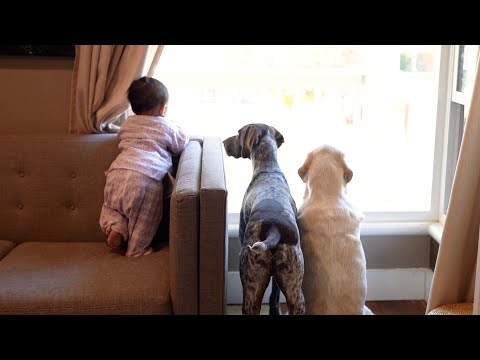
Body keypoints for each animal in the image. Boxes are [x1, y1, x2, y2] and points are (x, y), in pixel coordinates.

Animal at [224, 124, 306, 316]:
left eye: (238, 133)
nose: (223, 142)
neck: (268, 168)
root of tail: (273, 229)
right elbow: (275, 295)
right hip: (296, 293)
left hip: (251, 289)